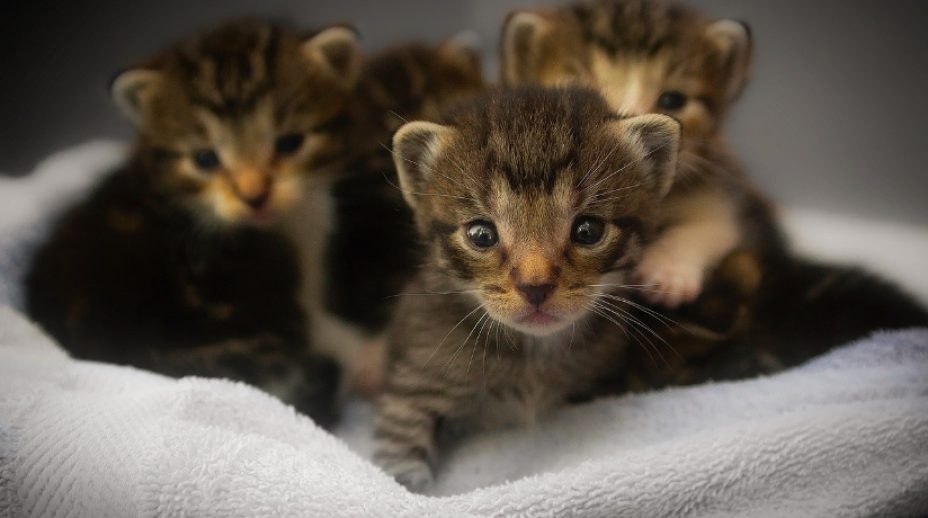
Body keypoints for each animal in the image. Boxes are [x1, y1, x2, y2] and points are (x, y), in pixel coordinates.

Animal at [374, 87, 684, 494]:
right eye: (481, 234)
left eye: (588, 231)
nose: (535, 287)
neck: (533, 356)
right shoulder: (414, 385)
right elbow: (398, 457)